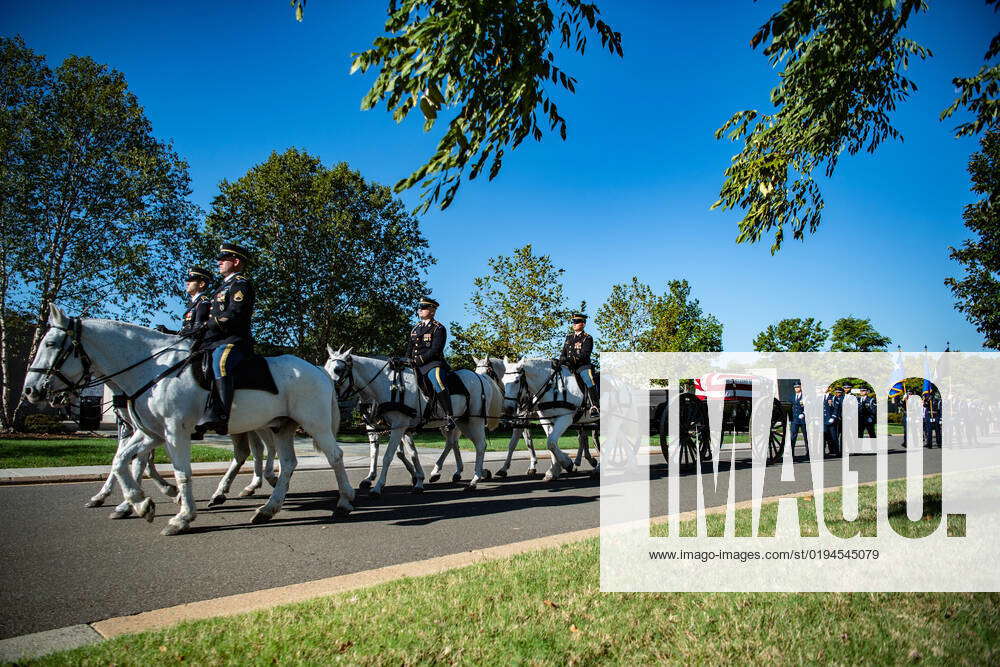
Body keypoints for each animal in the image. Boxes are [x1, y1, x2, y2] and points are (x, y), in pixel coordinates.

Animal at [22, 306, 356, 536]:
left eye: (51, 344)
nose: (30, 390)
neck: (154, 368)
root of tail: (319, 371)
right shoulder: (149, 432)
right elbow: (121, 462)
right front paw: (139, 503)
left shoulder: (173, 431)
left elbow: (179, 471)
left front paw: (181, 516)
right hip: (280, 426)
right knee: (286, 463)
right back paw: (266, 508)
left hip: (313, 424)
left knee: (334, 456)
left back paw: (344, 501)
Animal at [324, 350, 500, 496]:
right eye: (325, 367)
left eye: (338, 370)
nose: (327, 391)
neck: (388, 385)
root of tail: (481, 377)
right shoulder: (393, 427)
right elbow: (403, 453)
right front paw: (417, 479)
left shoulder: (398, 427)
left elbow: (388, 456)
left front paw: (378, 486)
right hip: (461, 422)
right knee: (457, 443)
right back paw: (449, 472)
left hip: (474, 420)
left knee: (479, 445)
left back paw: (474, 480)